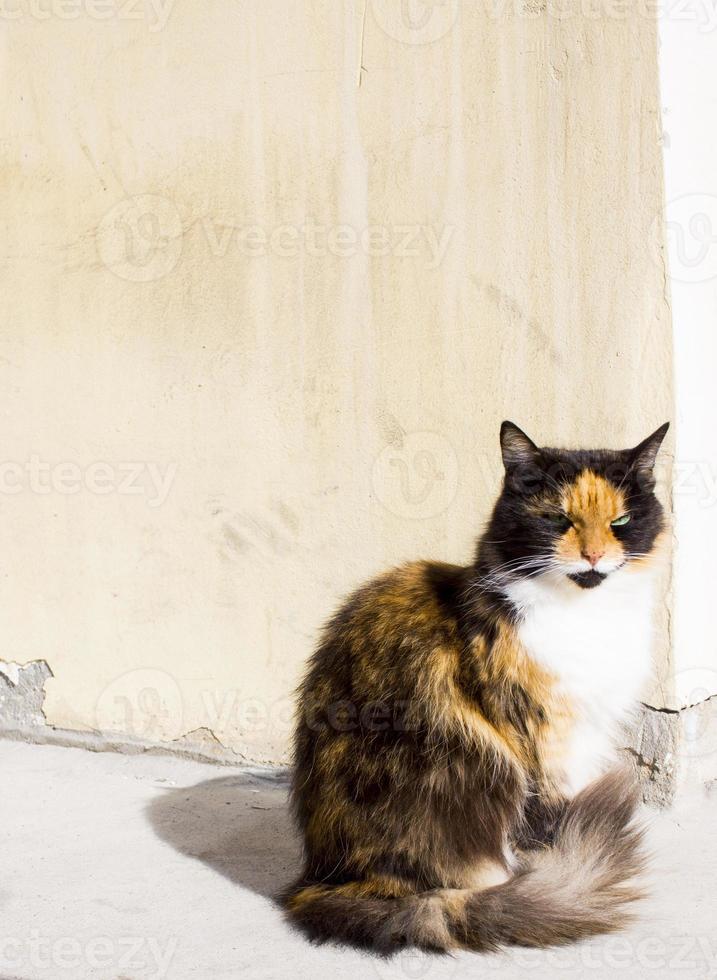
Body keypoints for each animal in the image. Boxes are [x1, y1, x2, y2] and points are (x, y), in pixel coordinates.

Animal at [282, 424, 668, 956]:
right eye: (556, 518)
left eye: (622, 520)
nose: (593, 555)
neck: (587, 615)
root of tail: (325, 880)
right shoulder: (544, 739)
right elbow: (547, 823)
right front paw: (558, 863)